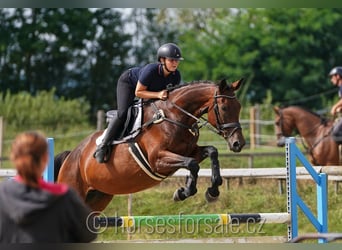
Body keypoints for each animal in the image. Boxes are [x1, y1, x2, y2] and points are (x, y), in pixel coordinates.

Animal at [55, 78, 246, 211]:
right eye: (224, 108)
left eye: (239, 107)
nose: (238, 143)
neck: (175, 116)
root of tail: (71, 155)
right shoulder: (157, 160)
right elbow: (192, 164)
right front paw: (184, 192)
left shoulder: (190, 151)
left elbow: (211, 152)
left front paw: (212, 191)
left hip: (98, 197)